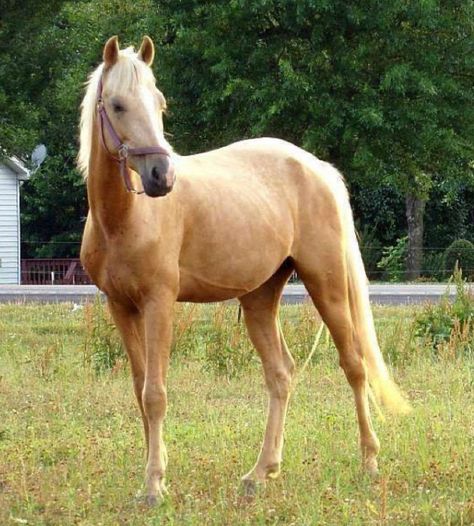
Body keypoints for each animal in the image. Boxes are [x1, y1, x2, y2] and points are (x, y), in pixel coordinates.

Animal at [79, 35, 410, 506]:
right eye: (118, 105)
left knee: (354, 364)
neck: (125, 219)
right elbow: (140, 391)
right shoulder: (120, 307)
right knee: (280, 374)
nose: (162, 177)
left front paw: (155, 484)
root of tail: (317, 168)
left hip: (326, 284)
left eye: (160, 103)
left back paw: (368, 461)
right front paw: (153, 476)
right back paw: (261, 471)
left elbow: (156, 393)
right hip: (259, 298)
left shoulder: (160, 303)